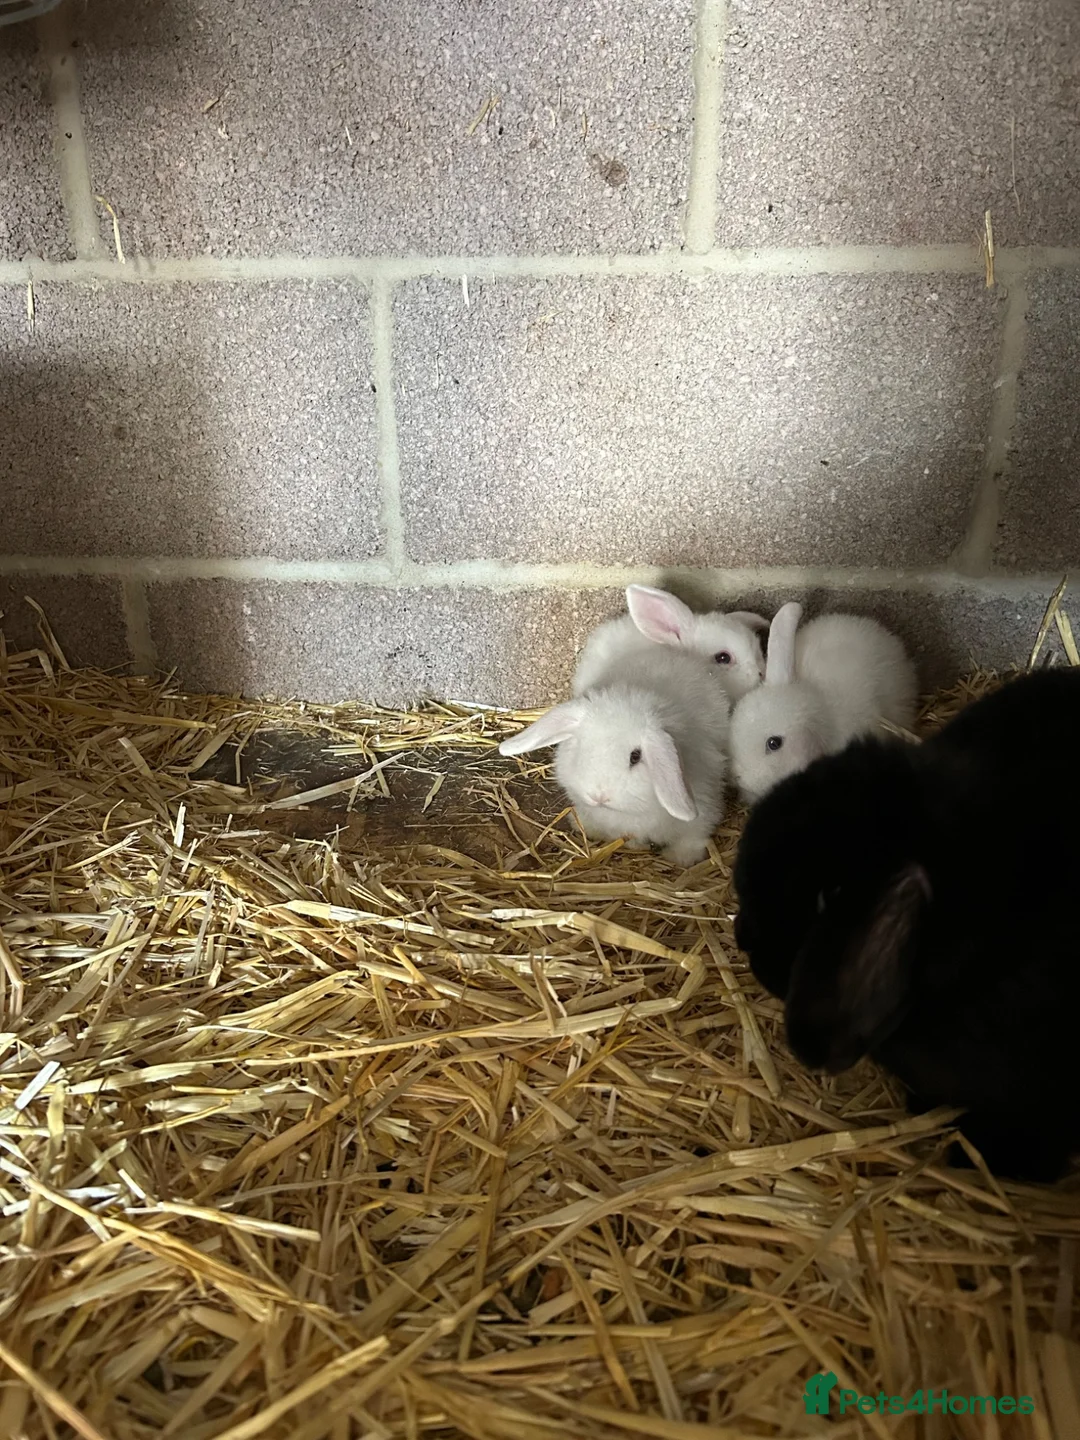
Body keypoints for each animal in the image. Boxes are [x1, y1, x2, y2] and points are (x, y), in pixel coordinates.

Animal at [500, 645, 731, 867]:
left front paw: (681, 858)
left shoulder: (703, 804)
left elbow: (694, 836)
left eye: (635, 757)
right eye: (582, 745)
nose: (599, 796)